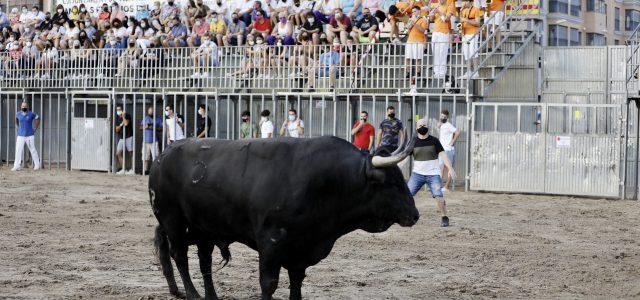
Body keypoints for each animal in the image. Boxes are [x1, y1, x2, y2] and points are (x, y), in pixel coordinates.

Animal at [149, 136, 420, 300]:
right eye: (392, 182)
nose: (415, 215)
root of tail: (163, 154)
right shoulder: (271, 243)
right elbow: (269, 283)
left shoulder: (301, 248)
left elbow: (297, 282)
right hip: (173, 220)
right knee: (179, 254)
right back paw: (191, 293)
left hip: (204, 229)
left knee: (203, 260)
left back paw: (207, 295)